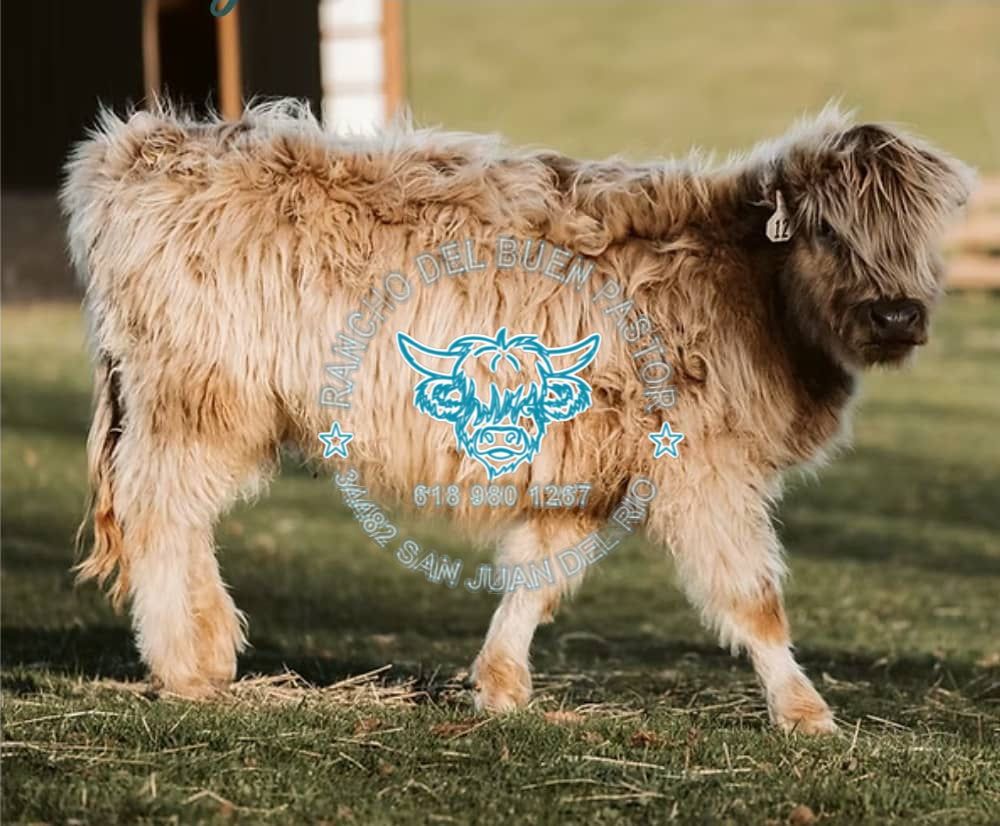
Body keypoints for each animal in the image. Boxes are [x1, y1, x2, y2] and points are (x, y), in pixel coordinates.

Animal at [62, 100, 974, 734]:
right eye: (827, 232)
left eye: (924, 237)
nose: (897, 315)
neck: (751, 291)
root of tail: (148, 144)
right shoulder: (704, 470)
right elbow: (753, 598)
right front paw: (805, 712)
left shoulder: (587, 465)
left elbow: (537, 577)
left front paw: (499, 686)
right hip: (198, 401)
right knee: (161, 512)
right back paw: (190, 663)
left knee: (178, 518)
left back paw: (208, 650)